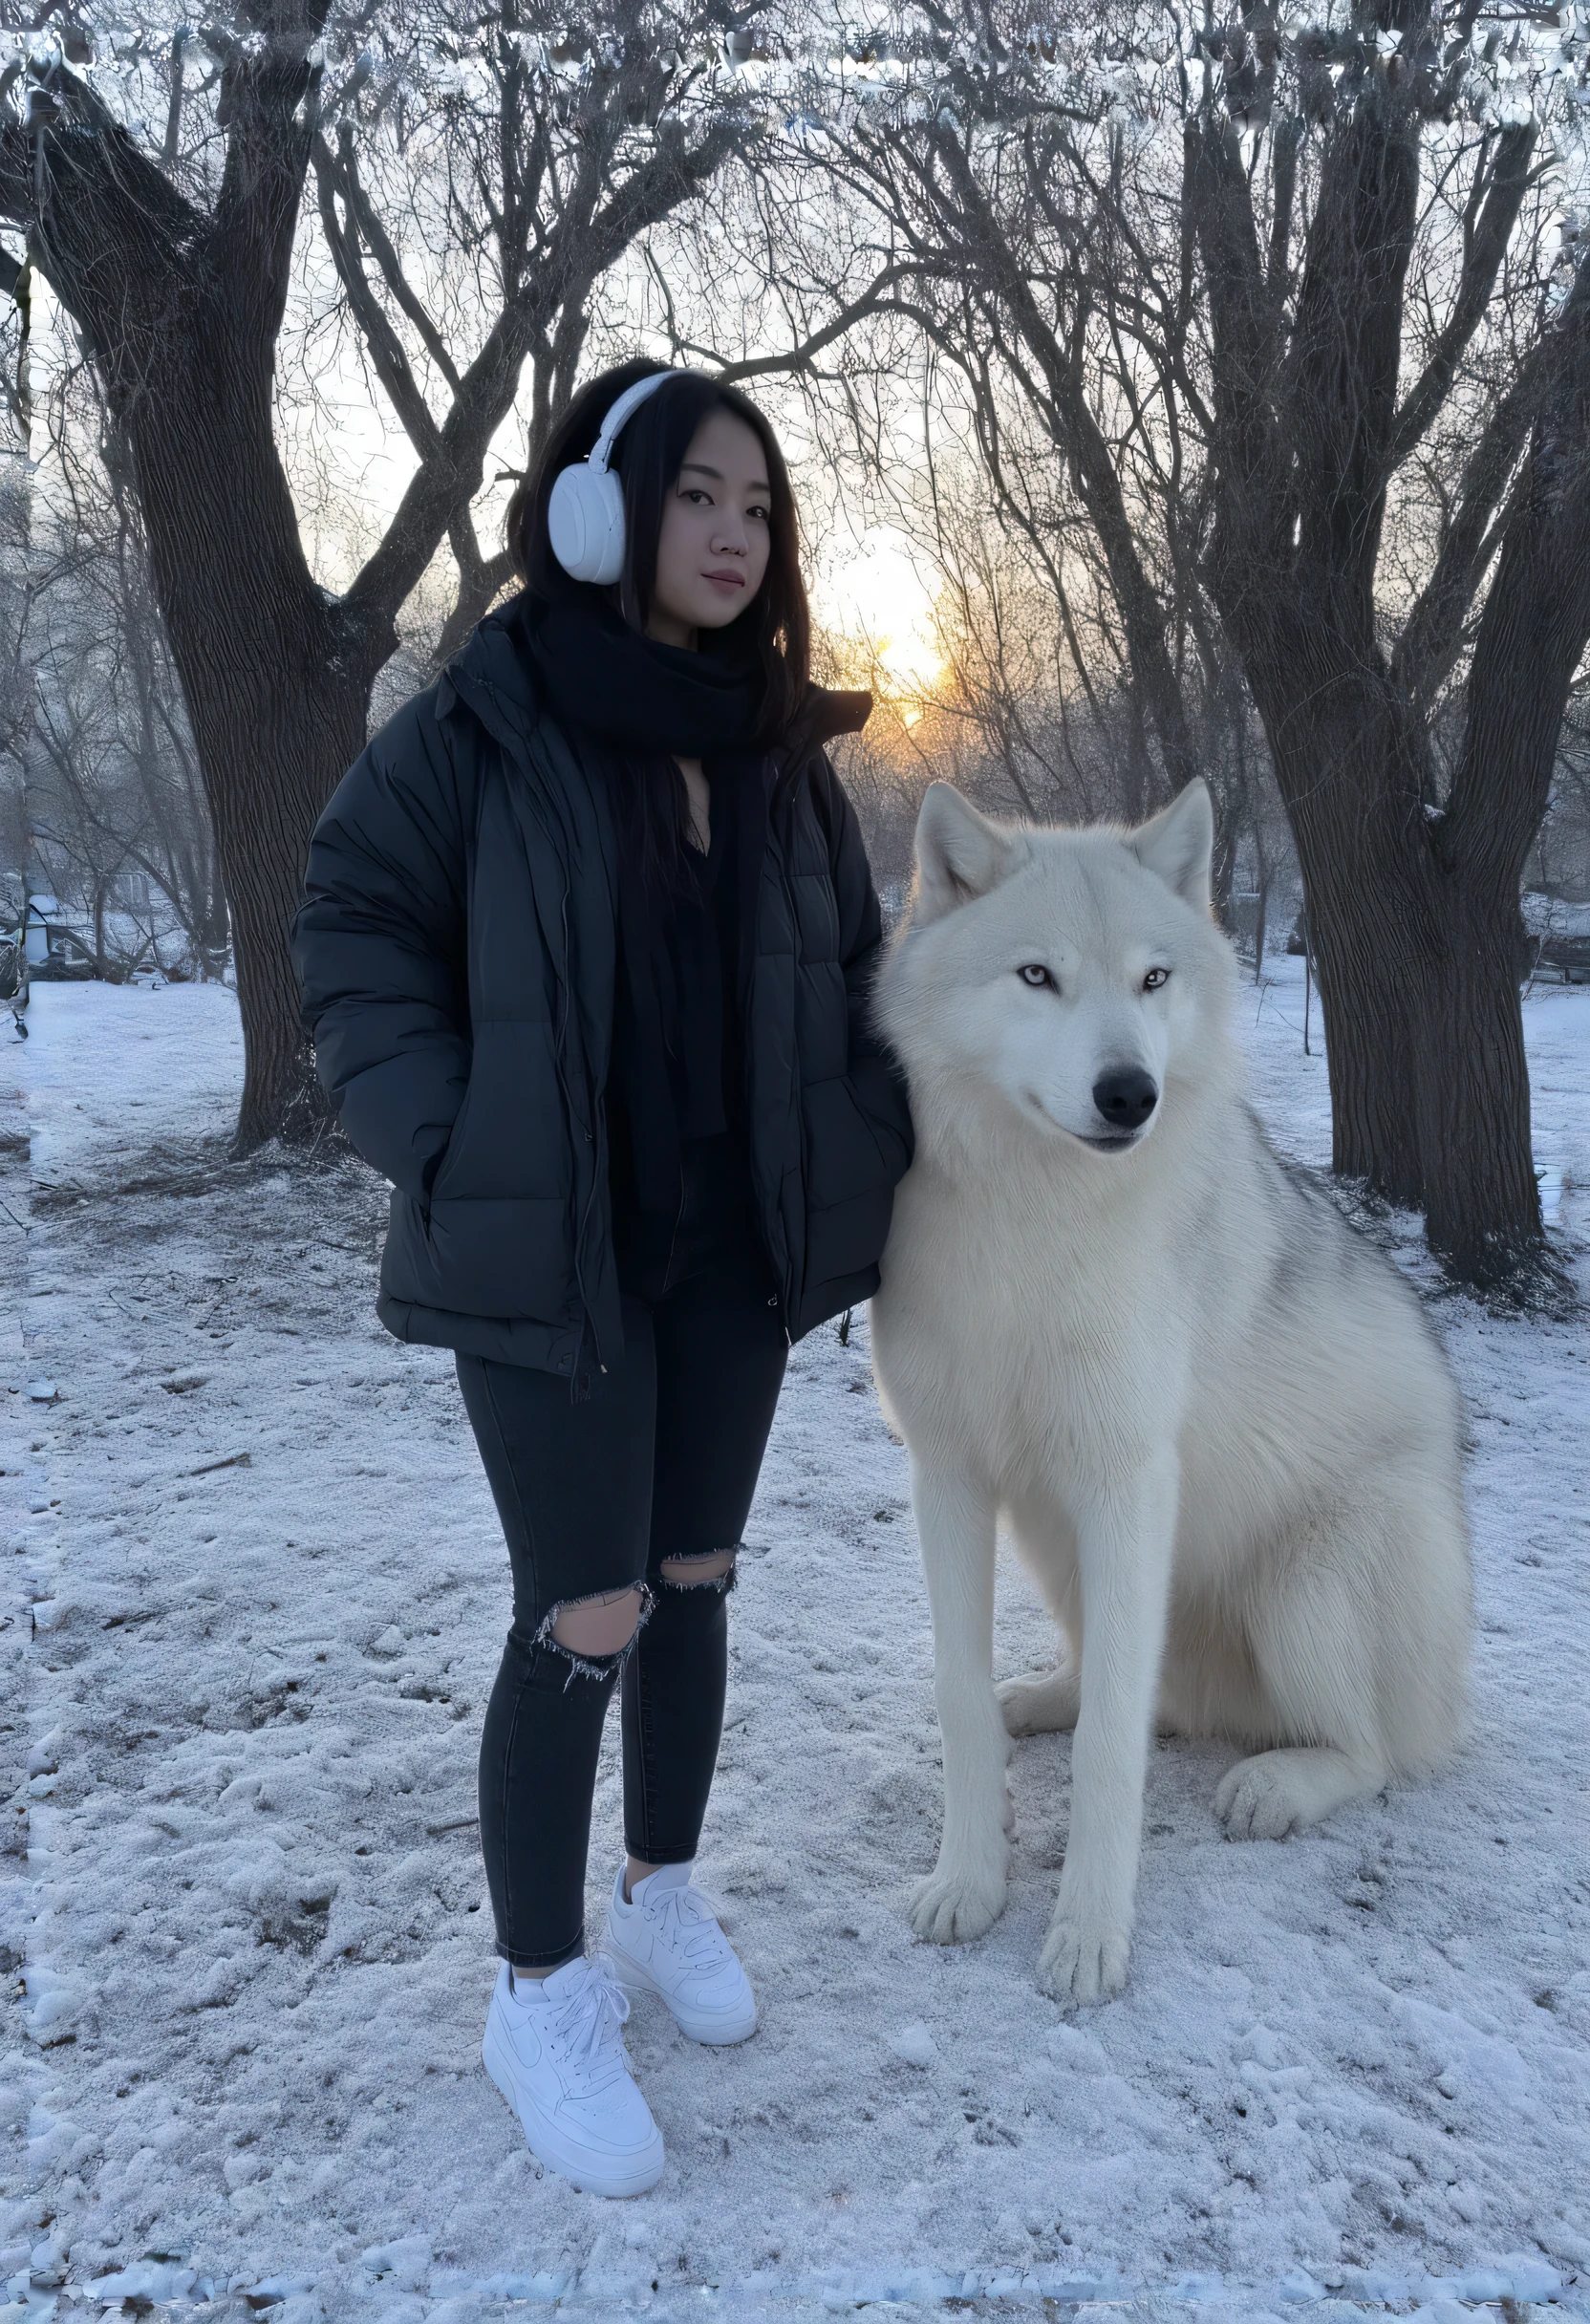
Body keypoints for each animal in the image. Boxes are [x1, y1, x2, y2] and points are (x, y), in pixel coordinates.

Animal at [873, 776, 1469, 1998]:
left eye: (1153, 978)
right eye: (1036, 975)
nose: (1127, 1093)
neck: (1029, 1220)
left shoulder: (1125, 1479)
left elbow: (1110, 1746)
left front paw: (1086, 1936)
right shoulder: (947, 1474)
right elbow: (961, 1696)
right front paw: (967, 1882)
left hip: (1303, 1581)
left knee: (1371, 1749)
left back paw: (1275, 1783)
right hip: (1053, 1541)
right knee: (1137, 1690)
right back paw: (1037, 1697)